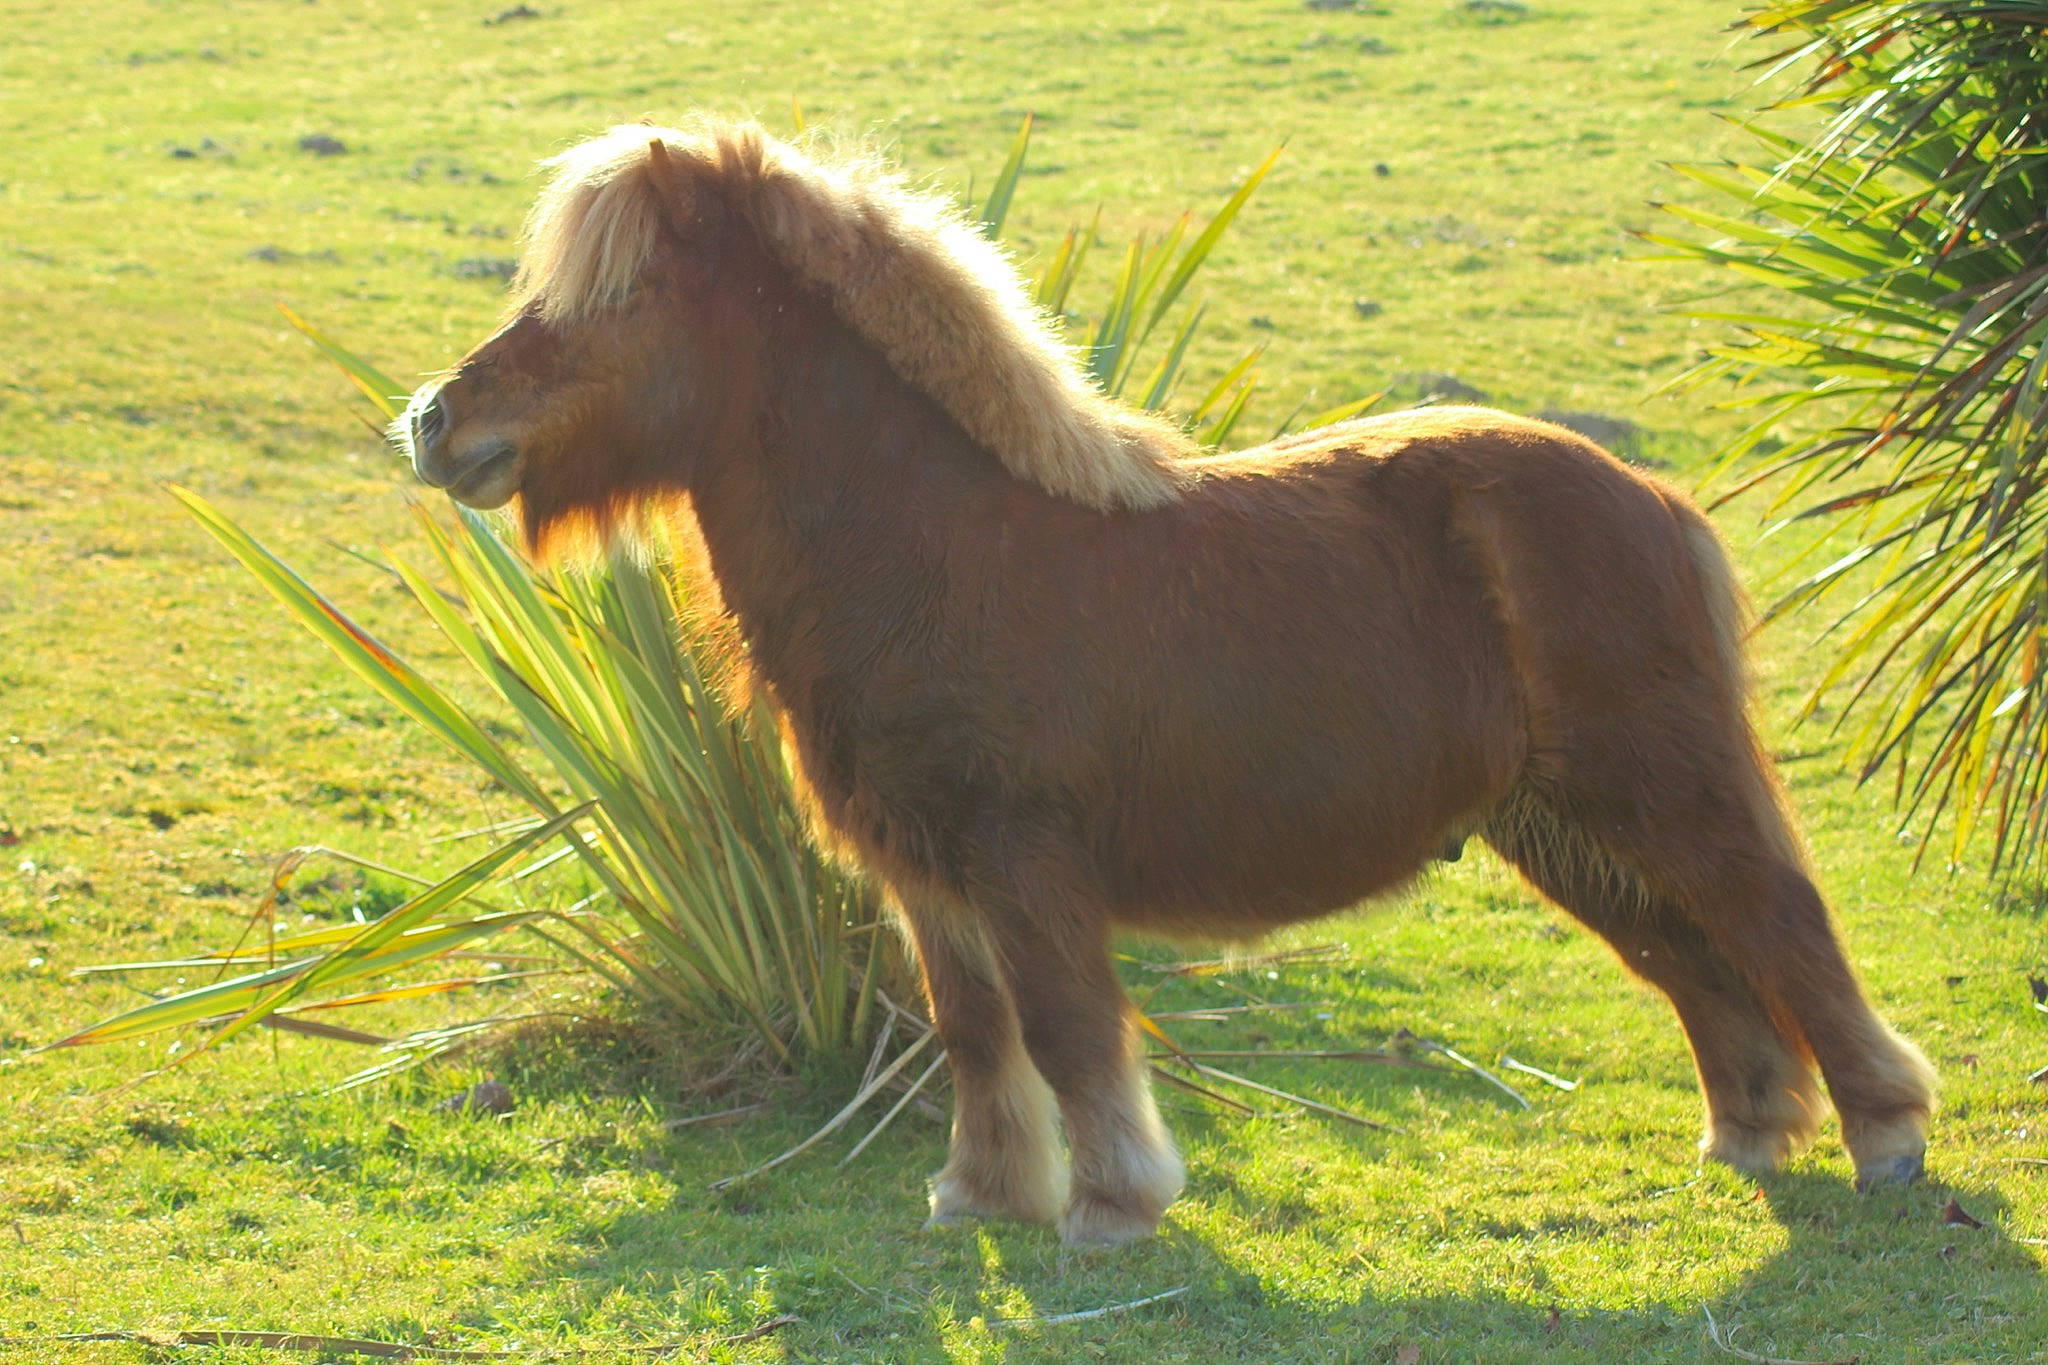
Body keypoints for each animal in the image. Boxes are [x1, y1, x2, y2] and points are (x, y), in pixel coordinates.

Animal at [397, 120, 1935, 1246]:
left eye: (622, 297)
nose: (434, 421)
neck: (933, 547)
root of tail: (1653, 498)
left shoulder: (1026, 860)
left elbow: (1071, 1031)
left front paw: (1110, 1208)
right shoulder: (927, 871)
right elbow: (975, 1035)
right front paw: (982, 1197)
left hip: (1668, 790)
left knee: (1783, 926)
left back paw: (1887, 1140)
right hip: (1559, 828)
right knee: (1695, 963)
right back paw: (1746, 1136)